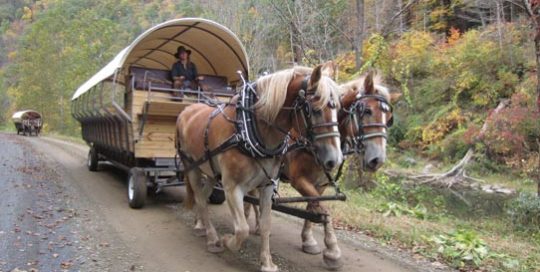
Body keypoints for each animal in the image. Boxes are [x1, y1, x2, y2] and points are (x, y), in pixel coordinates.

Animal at [176, 62, 342, 272]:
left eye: (338, 109)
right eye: (315, 109)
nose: (334, 160)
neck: (249, 129)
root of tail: (186, 110)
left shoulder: (267, 186)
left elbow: (265, 225)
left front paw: (267, 263)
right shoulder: (232, 188)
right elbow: (242, 229)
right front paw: (226, 240)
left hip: (211, 171)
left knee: (203, 197)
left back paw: (201, 226)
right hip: (192, 166)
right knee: (198, 196)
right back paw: (212, 238)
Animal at [247, 71, 394, 268]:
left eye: (389, 118)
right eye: (367, 111)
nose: (377, 160)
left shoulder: (320, 184)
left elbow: (313, 207)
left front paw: (308, 240)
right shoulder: (299, 180)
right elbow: (324, 210)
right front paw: (333, 250)